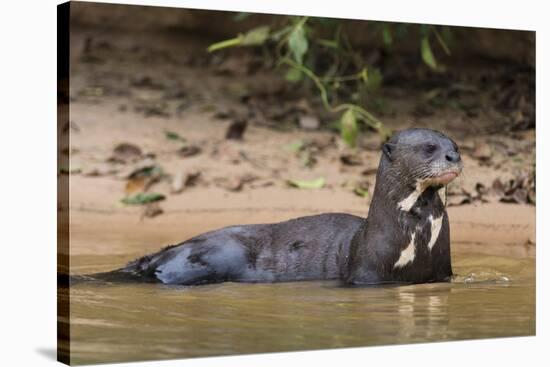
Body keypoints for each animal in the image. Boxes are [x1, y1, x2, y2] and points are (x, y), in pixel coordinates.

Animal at [84, 128, 464, 286]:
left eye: (455, 145)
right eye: (429, 147)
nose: (453, 156)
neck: (415, 240)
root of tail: (164, 252)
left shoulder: (443, 272)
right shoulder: (365, 274)